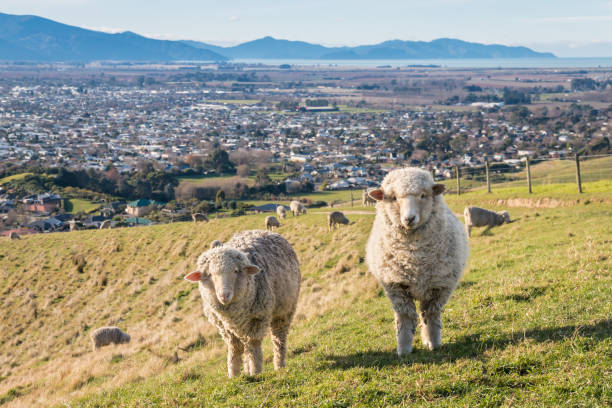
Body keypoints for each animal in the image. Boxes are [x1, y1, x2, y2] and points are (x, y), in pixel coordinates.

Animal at [186, 231, 302, 378]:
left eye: (235, 271)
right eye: (210, 274)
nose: (224, 295)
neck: (231, 313)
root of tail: (262, 231)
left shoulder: (258, 318)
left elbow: (254, 344)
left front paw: (256, 371)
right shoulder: (224, 326)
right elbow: (235, 348)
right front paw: (234, 375)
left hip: (284, 310)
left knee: (278, 338)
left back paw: (279, 365)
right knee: (245, 345)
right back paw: (247, 370)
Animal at [364, 167, 468, 356]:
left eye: (422, 195)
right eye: (393, 197)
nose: (409, 219)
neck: (415, 258)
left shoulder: (439, 287)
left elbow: (430, 315)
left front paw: (434, 343)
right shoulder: (396, 287)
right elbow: (405, 318)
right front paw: (404, 349)